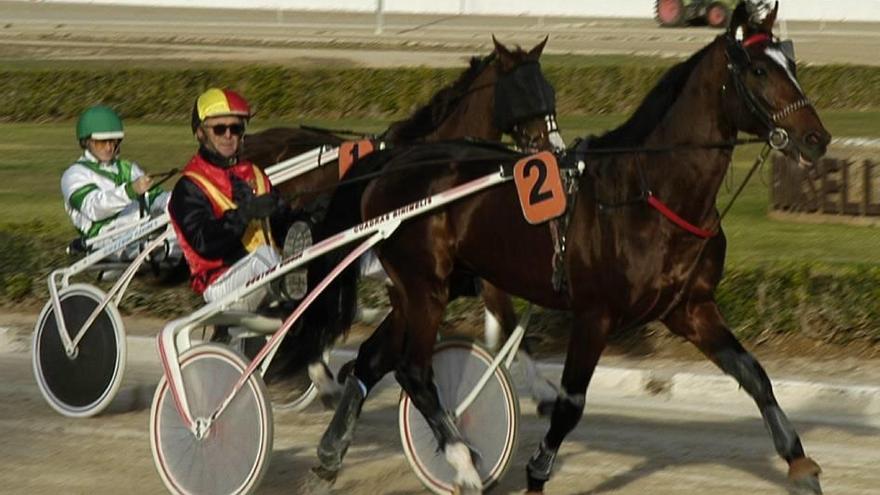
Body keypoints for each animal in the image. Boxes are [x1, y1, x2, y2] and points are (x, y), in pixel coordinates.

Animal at [316, 2, 832, 492]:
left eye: (791, 62)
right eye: (759, 70)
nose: (817, 138)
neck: (651, 194)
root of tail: (391, 161)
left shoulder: (691, 308)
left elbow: (753, 374)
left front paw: (799, 463)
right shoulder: (595, 313)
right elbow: (570, 405)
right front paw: (535, 473)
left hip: (431, 285)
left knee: (375, 358)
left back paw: (330, 453)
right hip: (426, 285)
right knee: (414, 371)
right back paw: (463, 464)